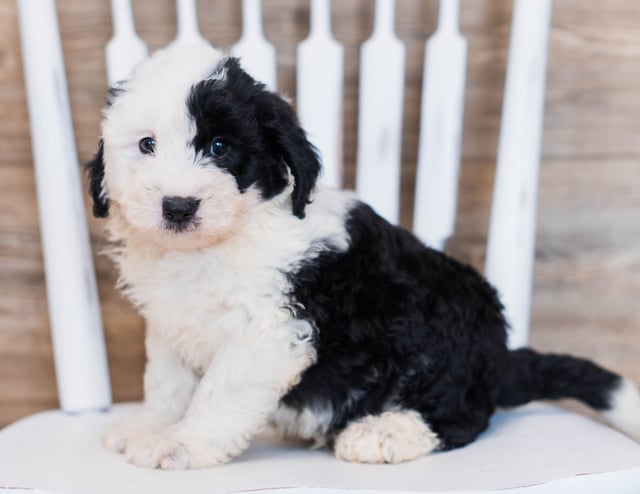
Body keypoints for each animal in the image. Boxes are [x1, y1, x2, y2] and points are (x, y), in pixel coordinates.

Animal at [86, 44, 640, 468]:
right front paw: (152, 428)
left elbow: (219, 392)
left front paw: (182, 445)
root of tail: (500, 360)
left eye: (220, 147)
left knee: (461, 415)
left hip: (446, 331)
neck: (216, 245)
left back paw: (387, 431)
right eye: (146, 145)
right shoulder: (172, 323)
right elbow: (167, 383)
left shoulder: (271, 329)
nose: (178, 206)